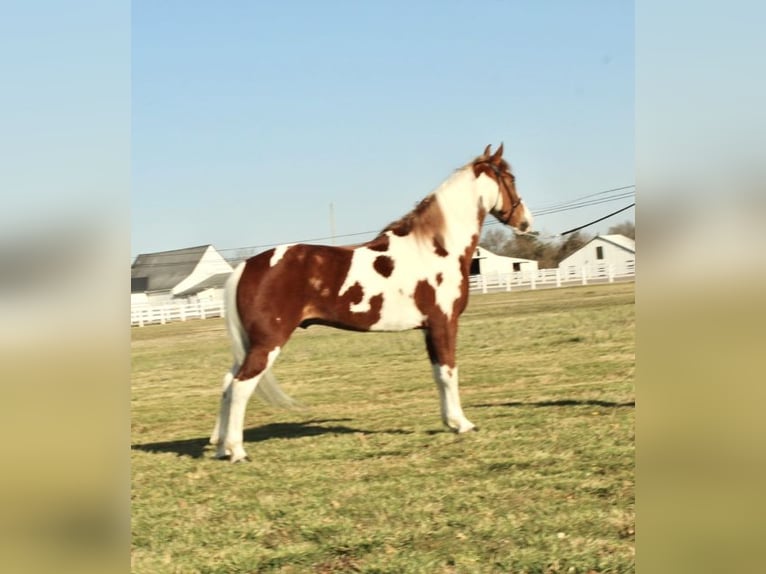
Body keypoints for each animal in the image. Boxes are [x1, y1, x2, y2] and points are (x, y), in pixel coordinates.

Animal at [210, 144, 533, 462]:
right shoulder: (444, 323)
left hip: (250, 344)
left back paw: (221, 448)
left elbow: (438, 374)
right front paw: (462, 423)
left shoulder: (429, 328)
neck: (436, 248)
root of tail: (245, 267)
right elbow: (448, 372)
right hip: (268, 342)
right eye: (511, 178)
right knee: (240, 386)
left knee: (227, 383)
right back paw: (237, 450)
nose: (525, 222)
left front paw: (450, 422)